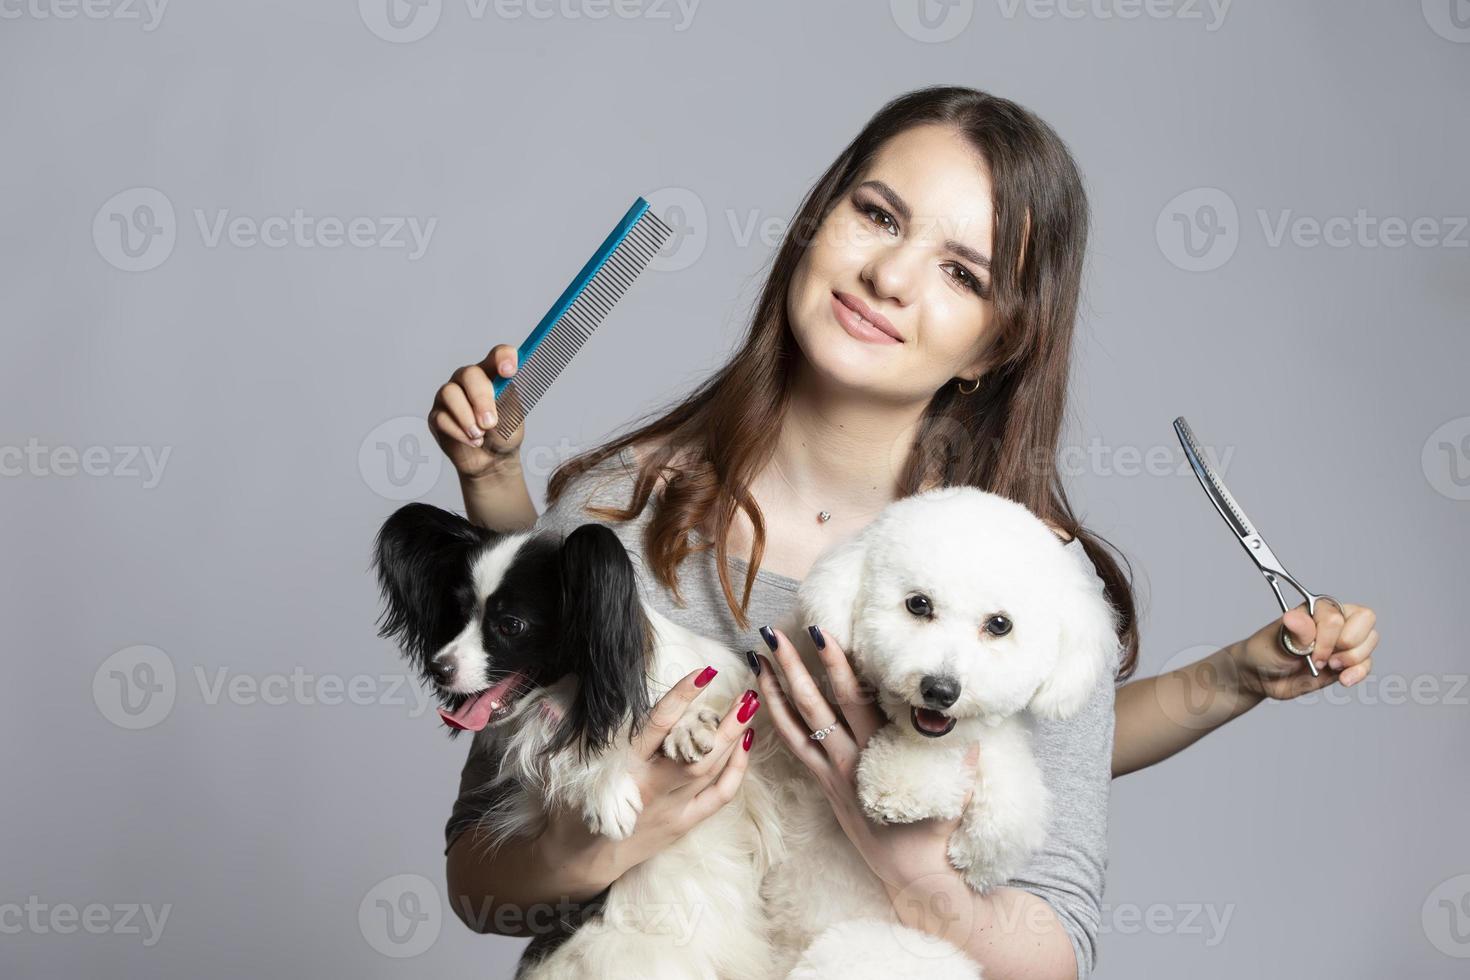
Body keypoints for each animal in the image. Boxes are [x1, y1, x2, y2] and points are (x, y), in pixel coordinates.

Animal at [758, 487, 1123, 975]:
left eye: (1000, 625)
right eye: (918, 604)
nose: (940, 689)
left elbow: (1005, 771)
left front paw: (984, 851)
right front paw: (902, 785)